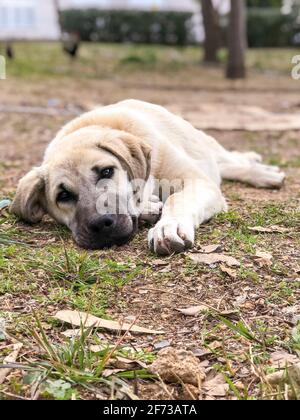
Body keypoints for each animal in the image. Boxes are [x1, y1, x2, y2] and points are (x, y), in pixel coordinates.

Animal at [11, 99, 284, 254]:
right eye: (63, 195)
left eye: (107, 171)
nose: (101, 225)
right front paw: (149, 209)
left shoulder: (197, 181)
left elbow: (177, 199)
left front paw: (168, 227)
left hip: (202, 144)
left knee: (230, 160)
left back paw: (264, 172)